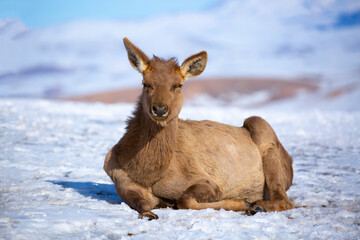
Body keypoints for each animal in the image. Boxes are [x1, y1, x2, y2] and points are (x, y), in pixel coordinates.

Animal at [102, 38, 294, 220]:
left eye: (178, 85)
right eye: (145, 83)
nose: (160, 109)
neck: (147, 174)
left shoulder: (209, 181)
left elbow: (185, 200)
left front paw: (241, 203)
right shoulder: (123, 183)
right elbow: (142, 205)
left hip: (263, 132)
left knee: (285, 200)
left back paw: (258, 206)